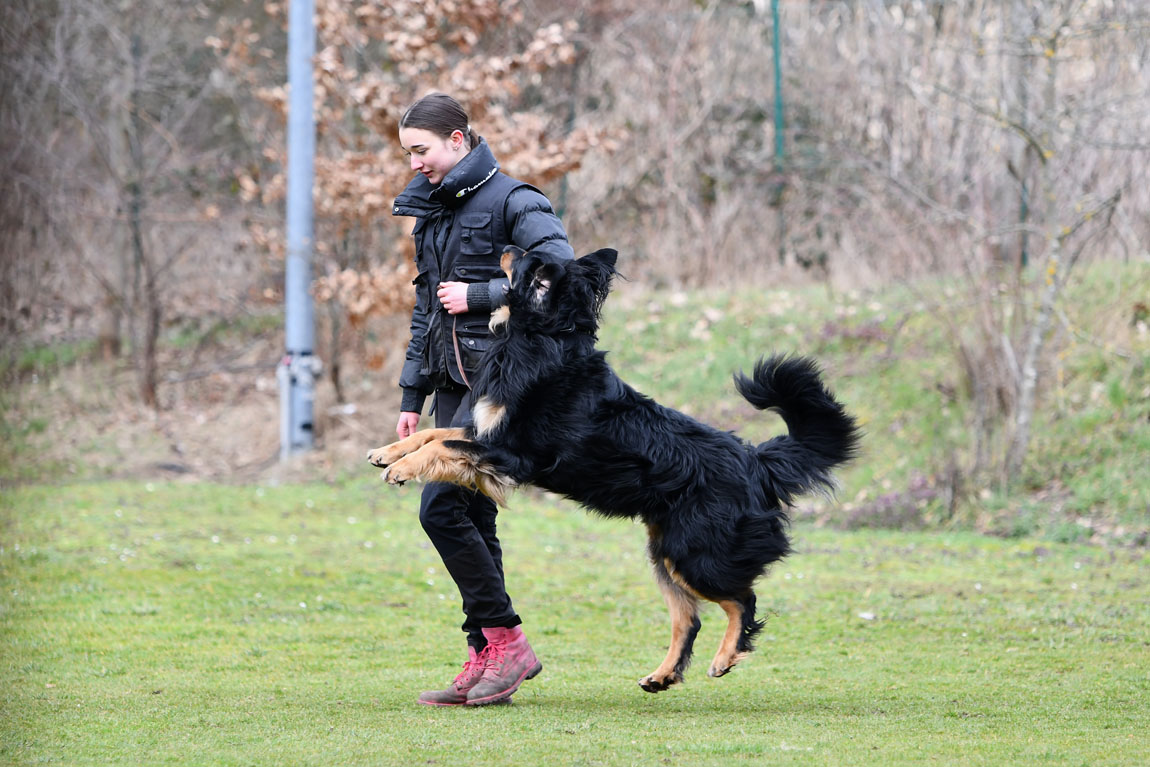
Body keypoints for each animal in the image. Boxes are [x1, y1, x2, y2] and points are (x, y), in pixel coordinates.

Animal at [363, 249, 860, 694]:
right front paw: (390, 451)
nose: (505, 246)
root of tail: (756, 461)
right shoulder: (486, 435)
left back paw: (724, 657)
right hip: (665, 552)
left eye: (523, 259)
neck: (545, 336)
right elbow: (434, 432)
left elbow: (443, 442)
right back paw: (663, 675)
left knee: (742, 600)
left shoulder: (513, 454)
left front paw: (402, 469)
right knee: (690, 619)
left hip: (696, 552)